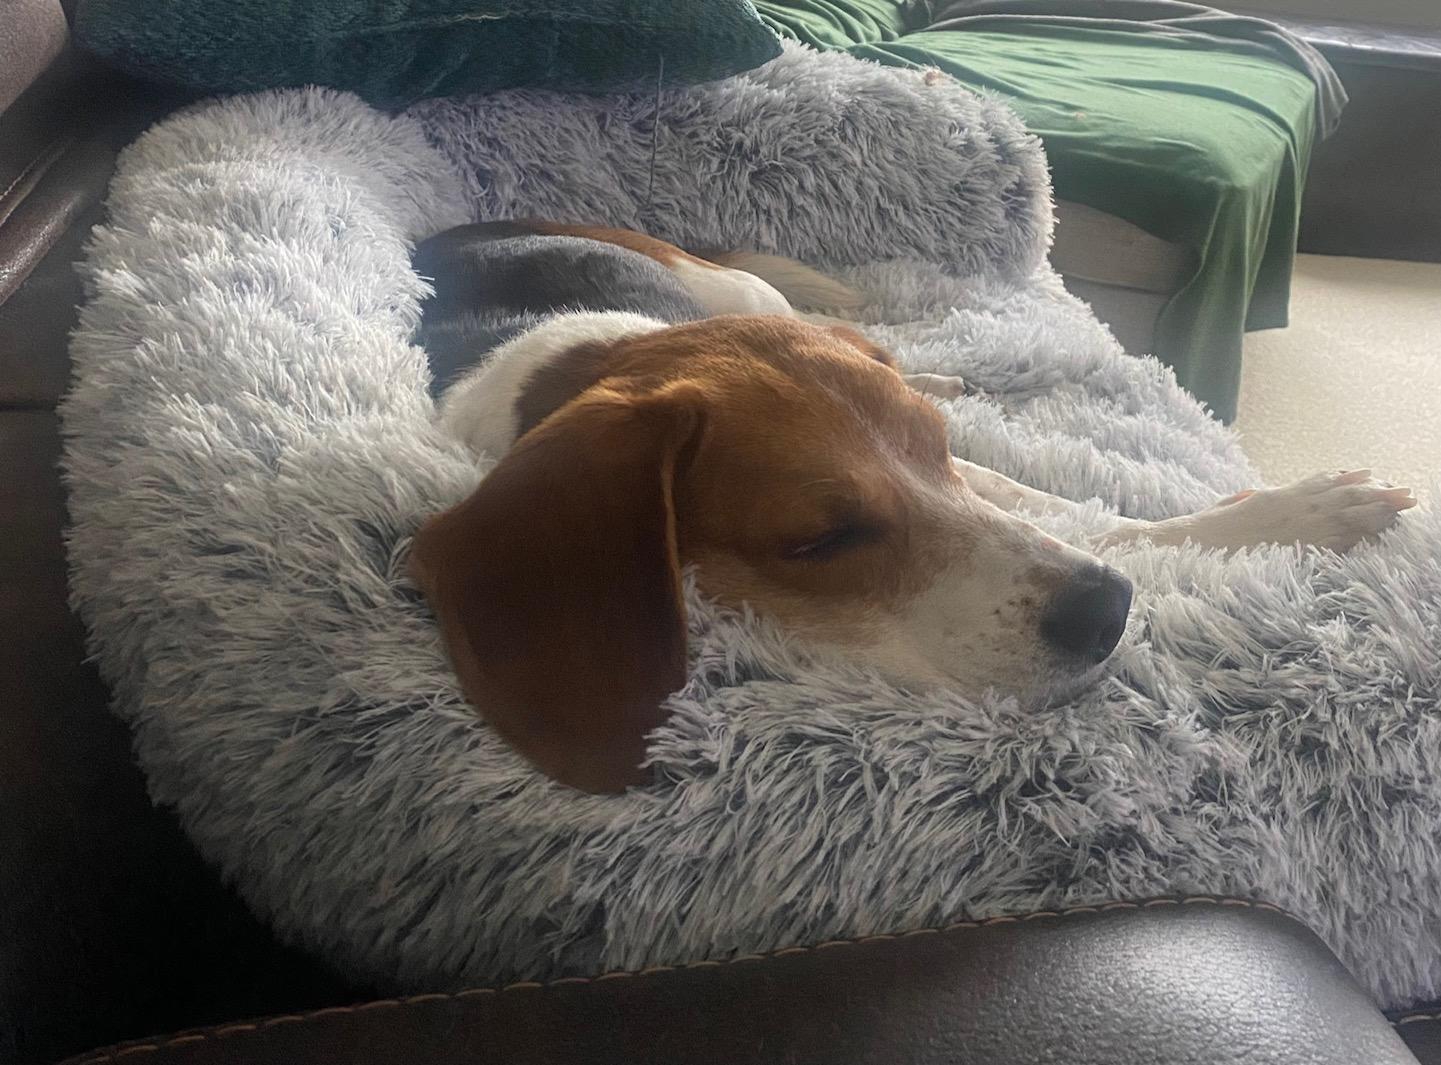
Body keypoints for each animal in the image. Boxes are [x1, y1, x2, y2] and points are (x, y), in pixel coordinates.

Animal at [409, 220, 1417, 795]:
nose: (1107, 609)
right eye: (819, 539)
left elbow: (1095, 517)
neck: (576, 375)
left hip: (740, 289)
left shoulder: (975, 477)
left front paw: (1295, 512)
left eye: (932, 449)